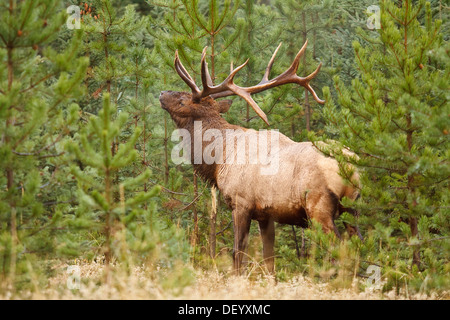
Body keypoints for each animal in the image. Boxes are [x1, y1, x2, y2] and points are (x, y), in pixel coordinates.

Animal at [159, 40, 362, 276]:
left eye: (182, 100)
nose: (161, 93)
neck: (219, 158)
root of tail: (352, 170)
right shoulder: (267, 215)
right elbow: (269, 260)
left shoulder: (241, 202)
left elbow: (238, 254)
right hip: (353, 208)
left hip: (319, 206)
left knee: (338, 249)